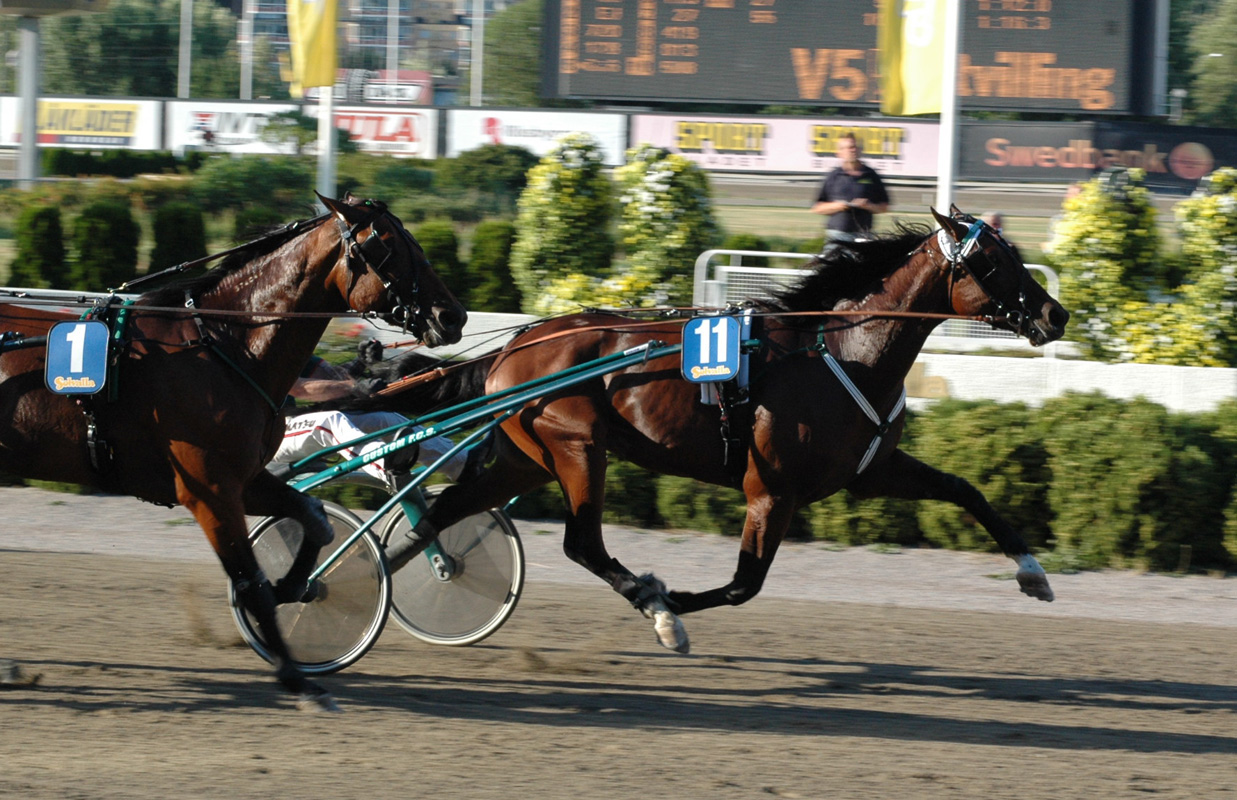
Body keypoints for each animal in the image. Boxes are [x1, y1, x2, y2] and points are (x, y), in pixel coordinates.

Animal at [1, 195, 465, 712]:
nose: (452, 316)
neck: (226, 345)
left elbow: (314, 518)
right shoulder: (208, 490)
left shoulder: (243, 478)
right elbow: (251, 581)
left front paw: (295, 584)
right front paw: (299, 680)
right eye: (386, 245)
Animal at [363, 207, 1063, 657]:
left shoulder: (870, 471)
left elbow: (966, 489)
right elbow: (742, 585)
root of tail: (514, 344)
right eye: (994, 262)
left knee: (440, 515)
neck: (843, 353)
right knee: (582, 543)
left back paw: (374, 578)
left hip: (524, 456)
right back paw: (651, 605)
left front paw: (1033, 572)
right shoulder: (770, 491)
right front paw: (666, 605)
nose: (1056, 313)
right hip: (578, 447)